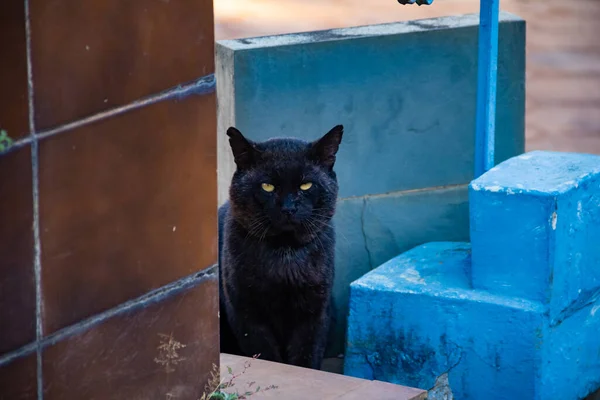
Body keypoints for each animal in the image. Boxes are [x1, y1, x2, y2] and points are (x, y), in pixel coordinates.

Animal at [219, 124, 342, 368]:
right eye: (267, 186)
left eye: (306, 184)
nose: (288, 208)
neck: (285, 255)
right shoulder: (246, 313)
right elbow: (266, 355)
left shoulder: (315, 313)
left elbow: (306, 357)